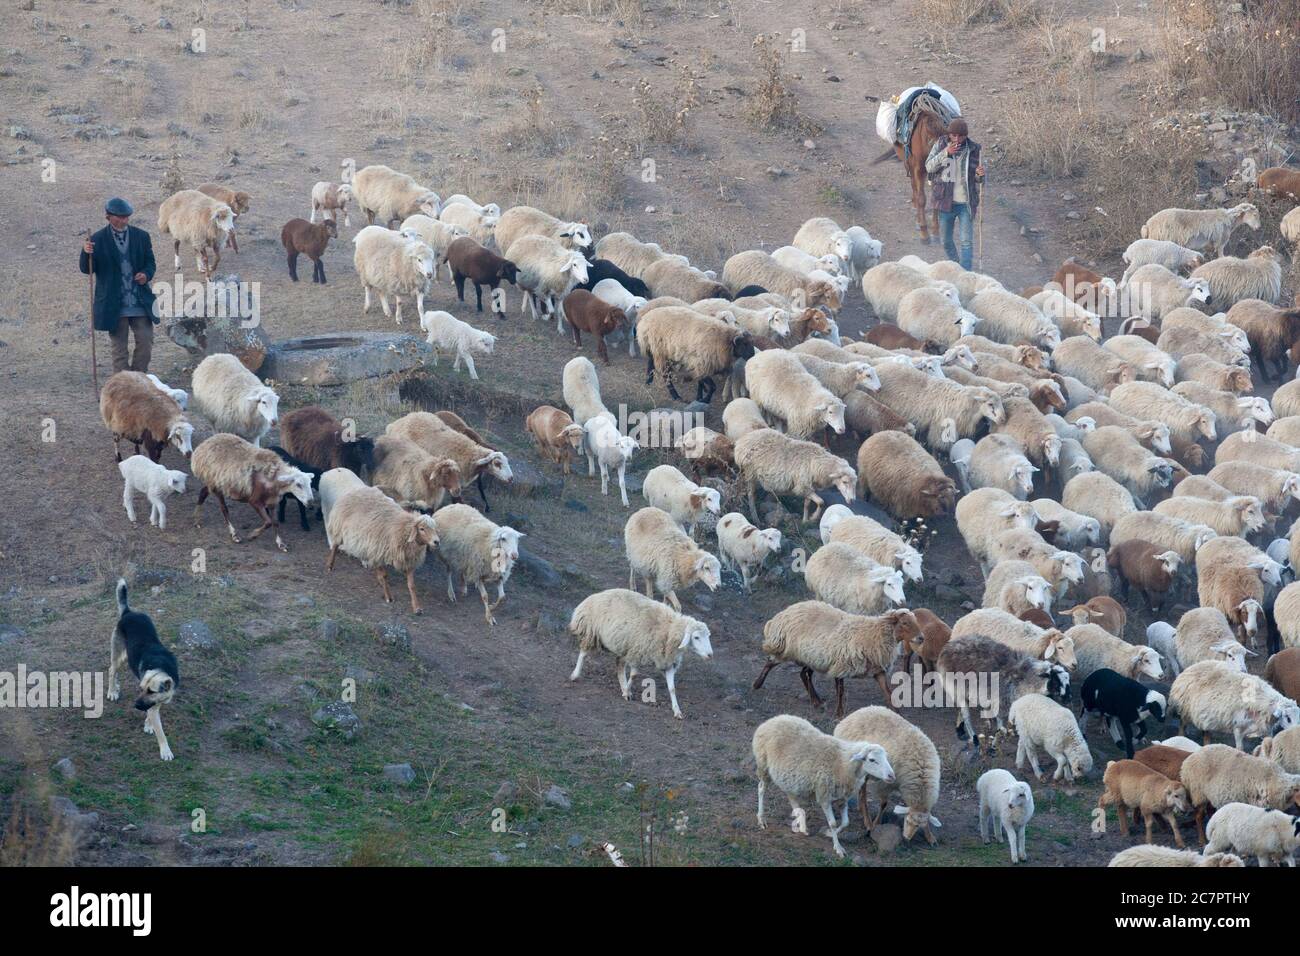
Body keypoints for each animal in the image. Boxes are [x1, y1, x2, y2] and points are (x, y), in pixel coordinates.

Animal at [568, 588, 712, 720]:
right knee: (583, 653)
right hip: (590, 631)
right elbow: (634, 675)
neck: (669, 630)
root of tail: (594, 596)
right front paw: (627, 691)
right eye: (696, 637)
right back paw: (575, 675)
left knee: (619, 665)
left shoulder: (668, 662)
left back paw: (622, 686)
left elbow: (672, 688)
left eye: (708, 636)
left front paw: (677, 711)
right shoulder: (636, 652)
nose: (710, 655)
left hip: (622, 644)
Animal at [752, 714, 894, 857]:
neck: (843, 763)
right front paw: (838, 848)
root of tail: (773, 719)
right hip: (763, 765)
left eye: (886, 758)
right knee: (761, 789)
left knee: (791, 796)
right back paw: (761, 819)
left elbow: (845, 822)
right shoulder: (824, 795)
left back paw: (801, 824)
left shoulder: (842, 797)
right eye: (872, 760)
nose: (891, 776)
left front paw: (830, 834)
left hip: (789, 777)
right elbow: (833, 823)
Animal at [753, 603, 920, 718]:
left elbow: (888, 691)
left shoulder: (877, 669)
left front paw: (897, 712)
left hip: (812, 657)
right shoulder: (841, 665)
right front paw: (839, 714)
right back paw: (757, 684)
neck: (874, 633)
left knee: (804, 674)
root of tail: (785, 612)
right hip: (787, 648)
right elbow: (840, 691)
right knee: (771, 662)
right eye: (905, 623)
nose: (921, 638)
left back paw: (817, 701)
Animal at [1172, 662, 1300, 751]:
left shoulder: (1266, 729)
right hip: (1185, 710)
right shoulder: (1237, 728)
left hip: (1203, 714)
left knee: (1206, 732)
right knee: (1182, 725)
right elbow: (1240, 749)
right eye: (1288, 718)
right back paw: (1180, 736)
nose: (1296, 734)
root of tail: (1189, 669)